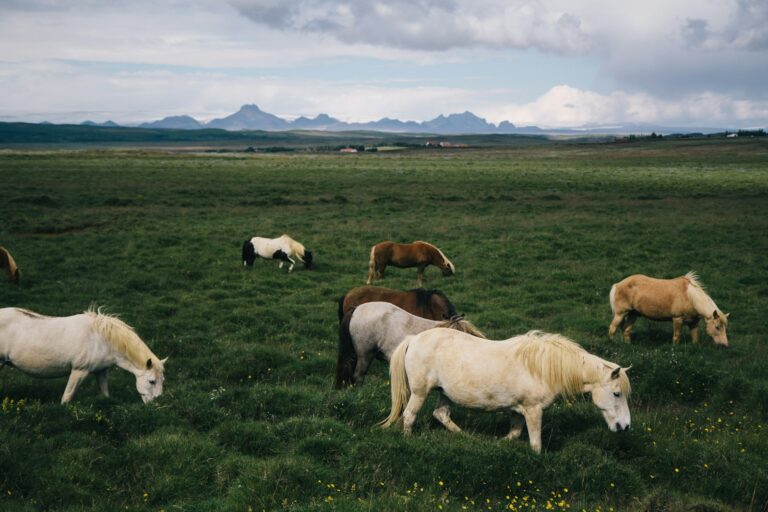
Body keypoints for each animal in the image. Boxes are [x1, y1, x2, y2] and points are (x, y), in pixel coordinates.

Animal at [0, 308, 167, 404]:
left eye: (162, 380)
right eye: (152, 381)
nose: (157, 404)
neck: (100, 339)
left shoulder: (102, 371)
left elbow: (105, 393)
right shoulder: (79, 371)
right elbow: (67, 397)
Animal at [380, 328, 632, 452]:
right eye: (616, 393)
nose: (625, 426)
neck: (541, 367)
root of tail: (414, 339)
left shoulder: (518, 409)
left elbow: (514, 433)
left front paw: (499, 443)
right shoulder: (533, 410)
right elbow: (535, 444)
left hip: (445, 393)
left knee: (440, 414)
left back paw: (466, 437)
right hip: (420, 392)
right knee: (409, 415)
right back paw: (408, 439)